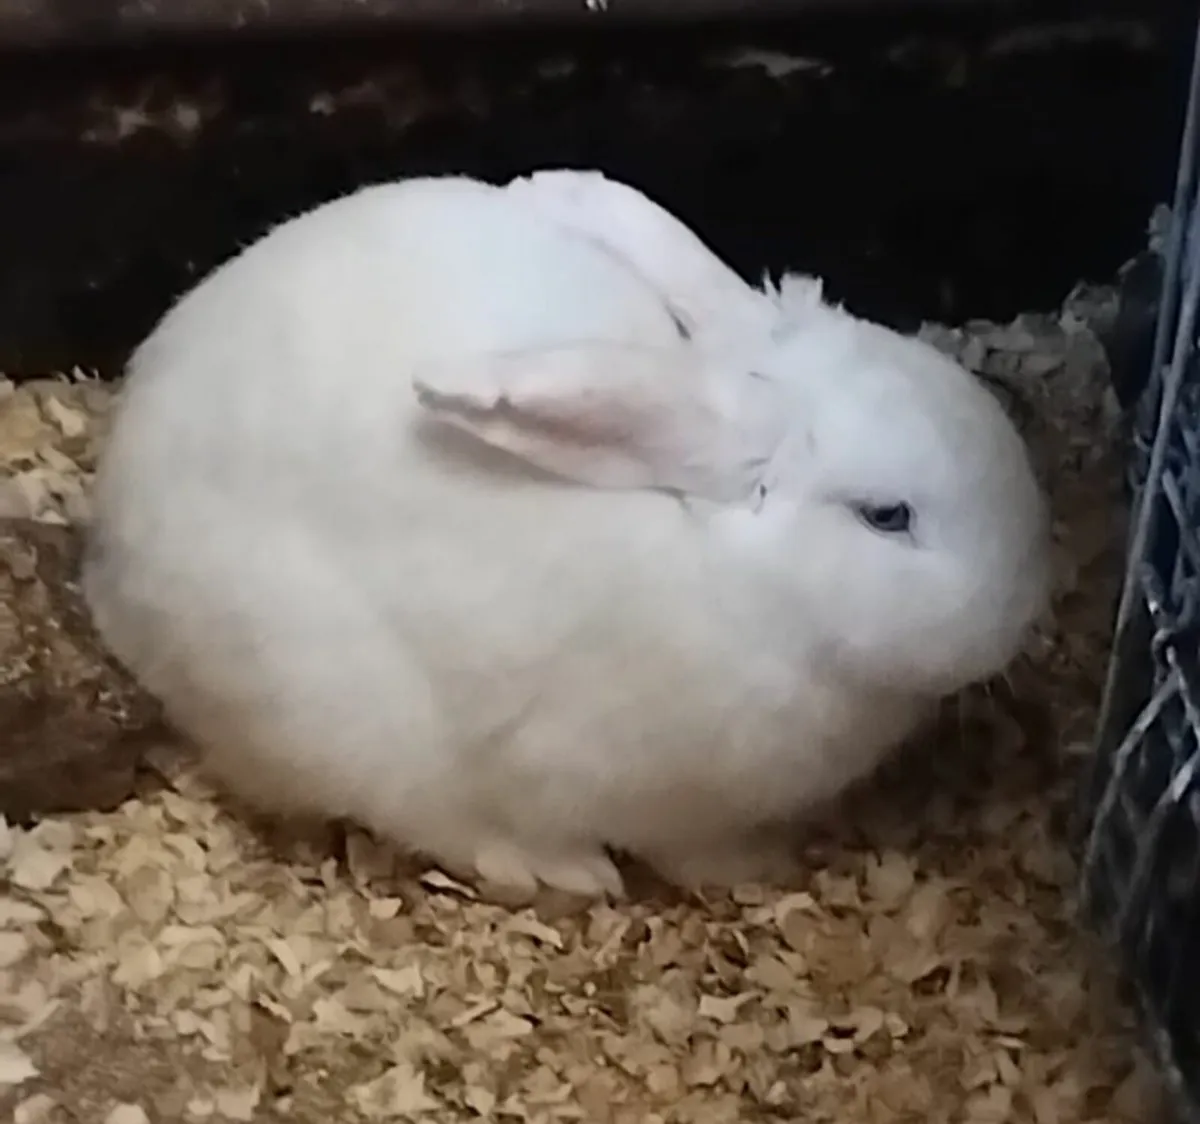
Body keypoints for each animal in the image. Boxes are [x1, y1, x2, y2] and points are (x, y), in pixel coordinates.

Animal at [82, 170, 1052, 899]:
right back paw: (555, 870)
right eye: (886, 516)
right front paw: (756, 867)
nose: (1025, 603)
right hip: (332, 707)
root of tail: (112, 571)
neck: (750, 594)